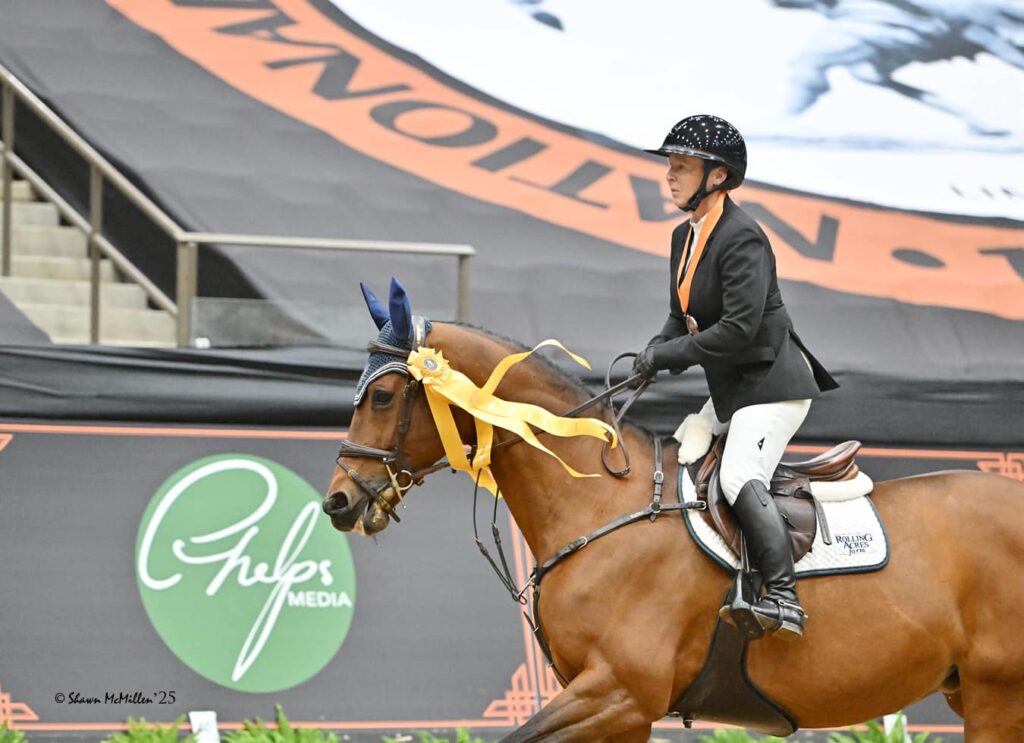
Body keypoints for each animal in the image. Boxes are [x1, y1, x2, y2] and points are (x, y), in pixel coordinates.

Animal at [323, 298, 1024, 742]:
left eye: (381, 397)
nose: (338, 502)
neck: (600, 507)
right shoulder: (621, 711)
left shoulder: (617, 693)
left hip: (998, 695)